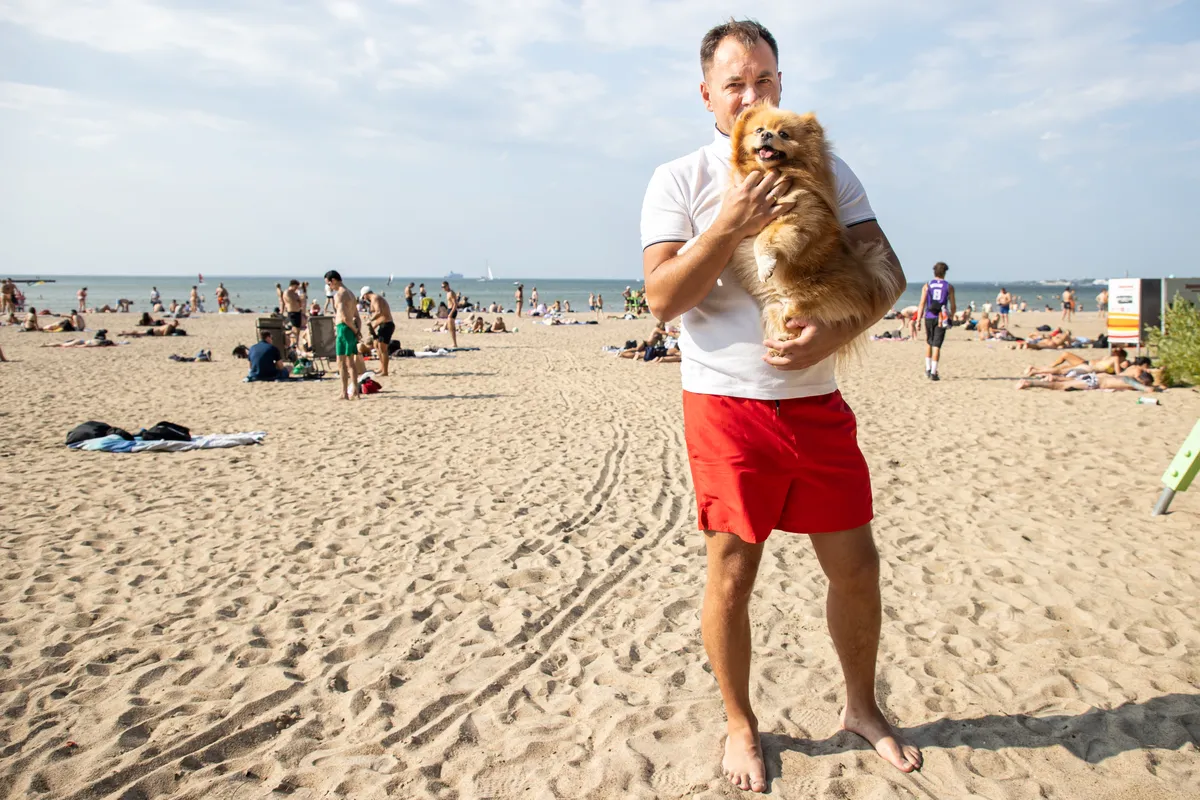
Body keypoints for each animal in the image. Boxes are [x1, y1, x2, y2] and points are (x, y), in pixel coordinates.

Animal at [720, 103, 902, 357]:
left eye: (784, 134)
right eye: (759, 130)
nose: (767, 135)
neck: (774, 172)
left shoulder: (797, 216)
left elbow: (763, 239)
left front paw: (765, 266)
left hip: (805, 300)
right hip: (774, 307)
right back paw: (781, 341)